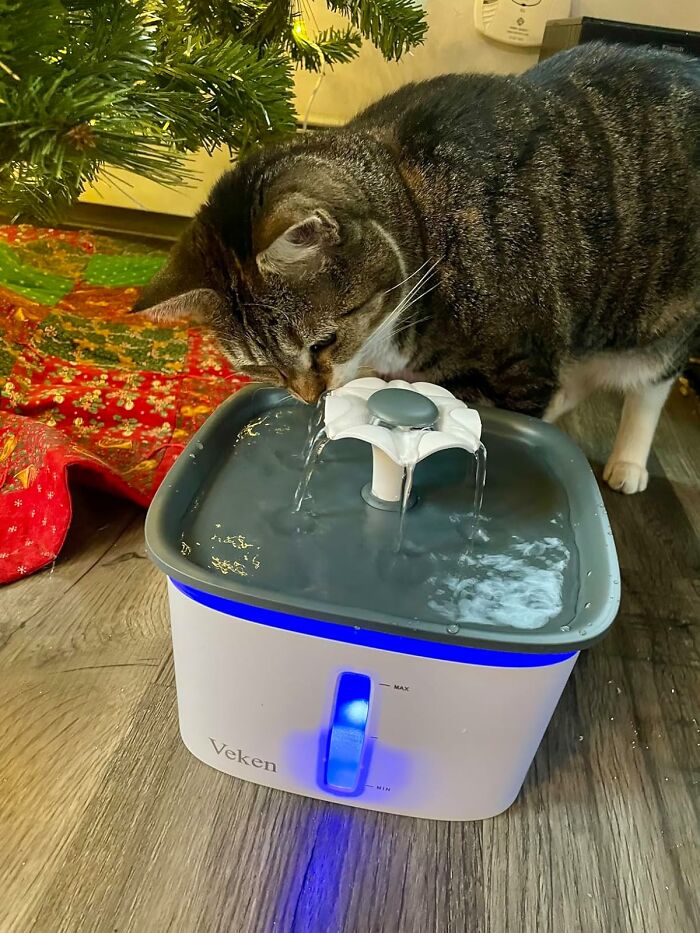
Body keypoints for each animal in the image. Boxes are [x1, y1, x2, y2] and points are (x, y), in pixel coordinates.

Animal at [133, 41, 700, 496]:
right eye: (260, 368)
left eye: (322, 343)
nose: (309, 396)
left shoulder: (520, 367)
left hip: (658, 320)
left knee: (649, 386)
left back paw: (628, 464)